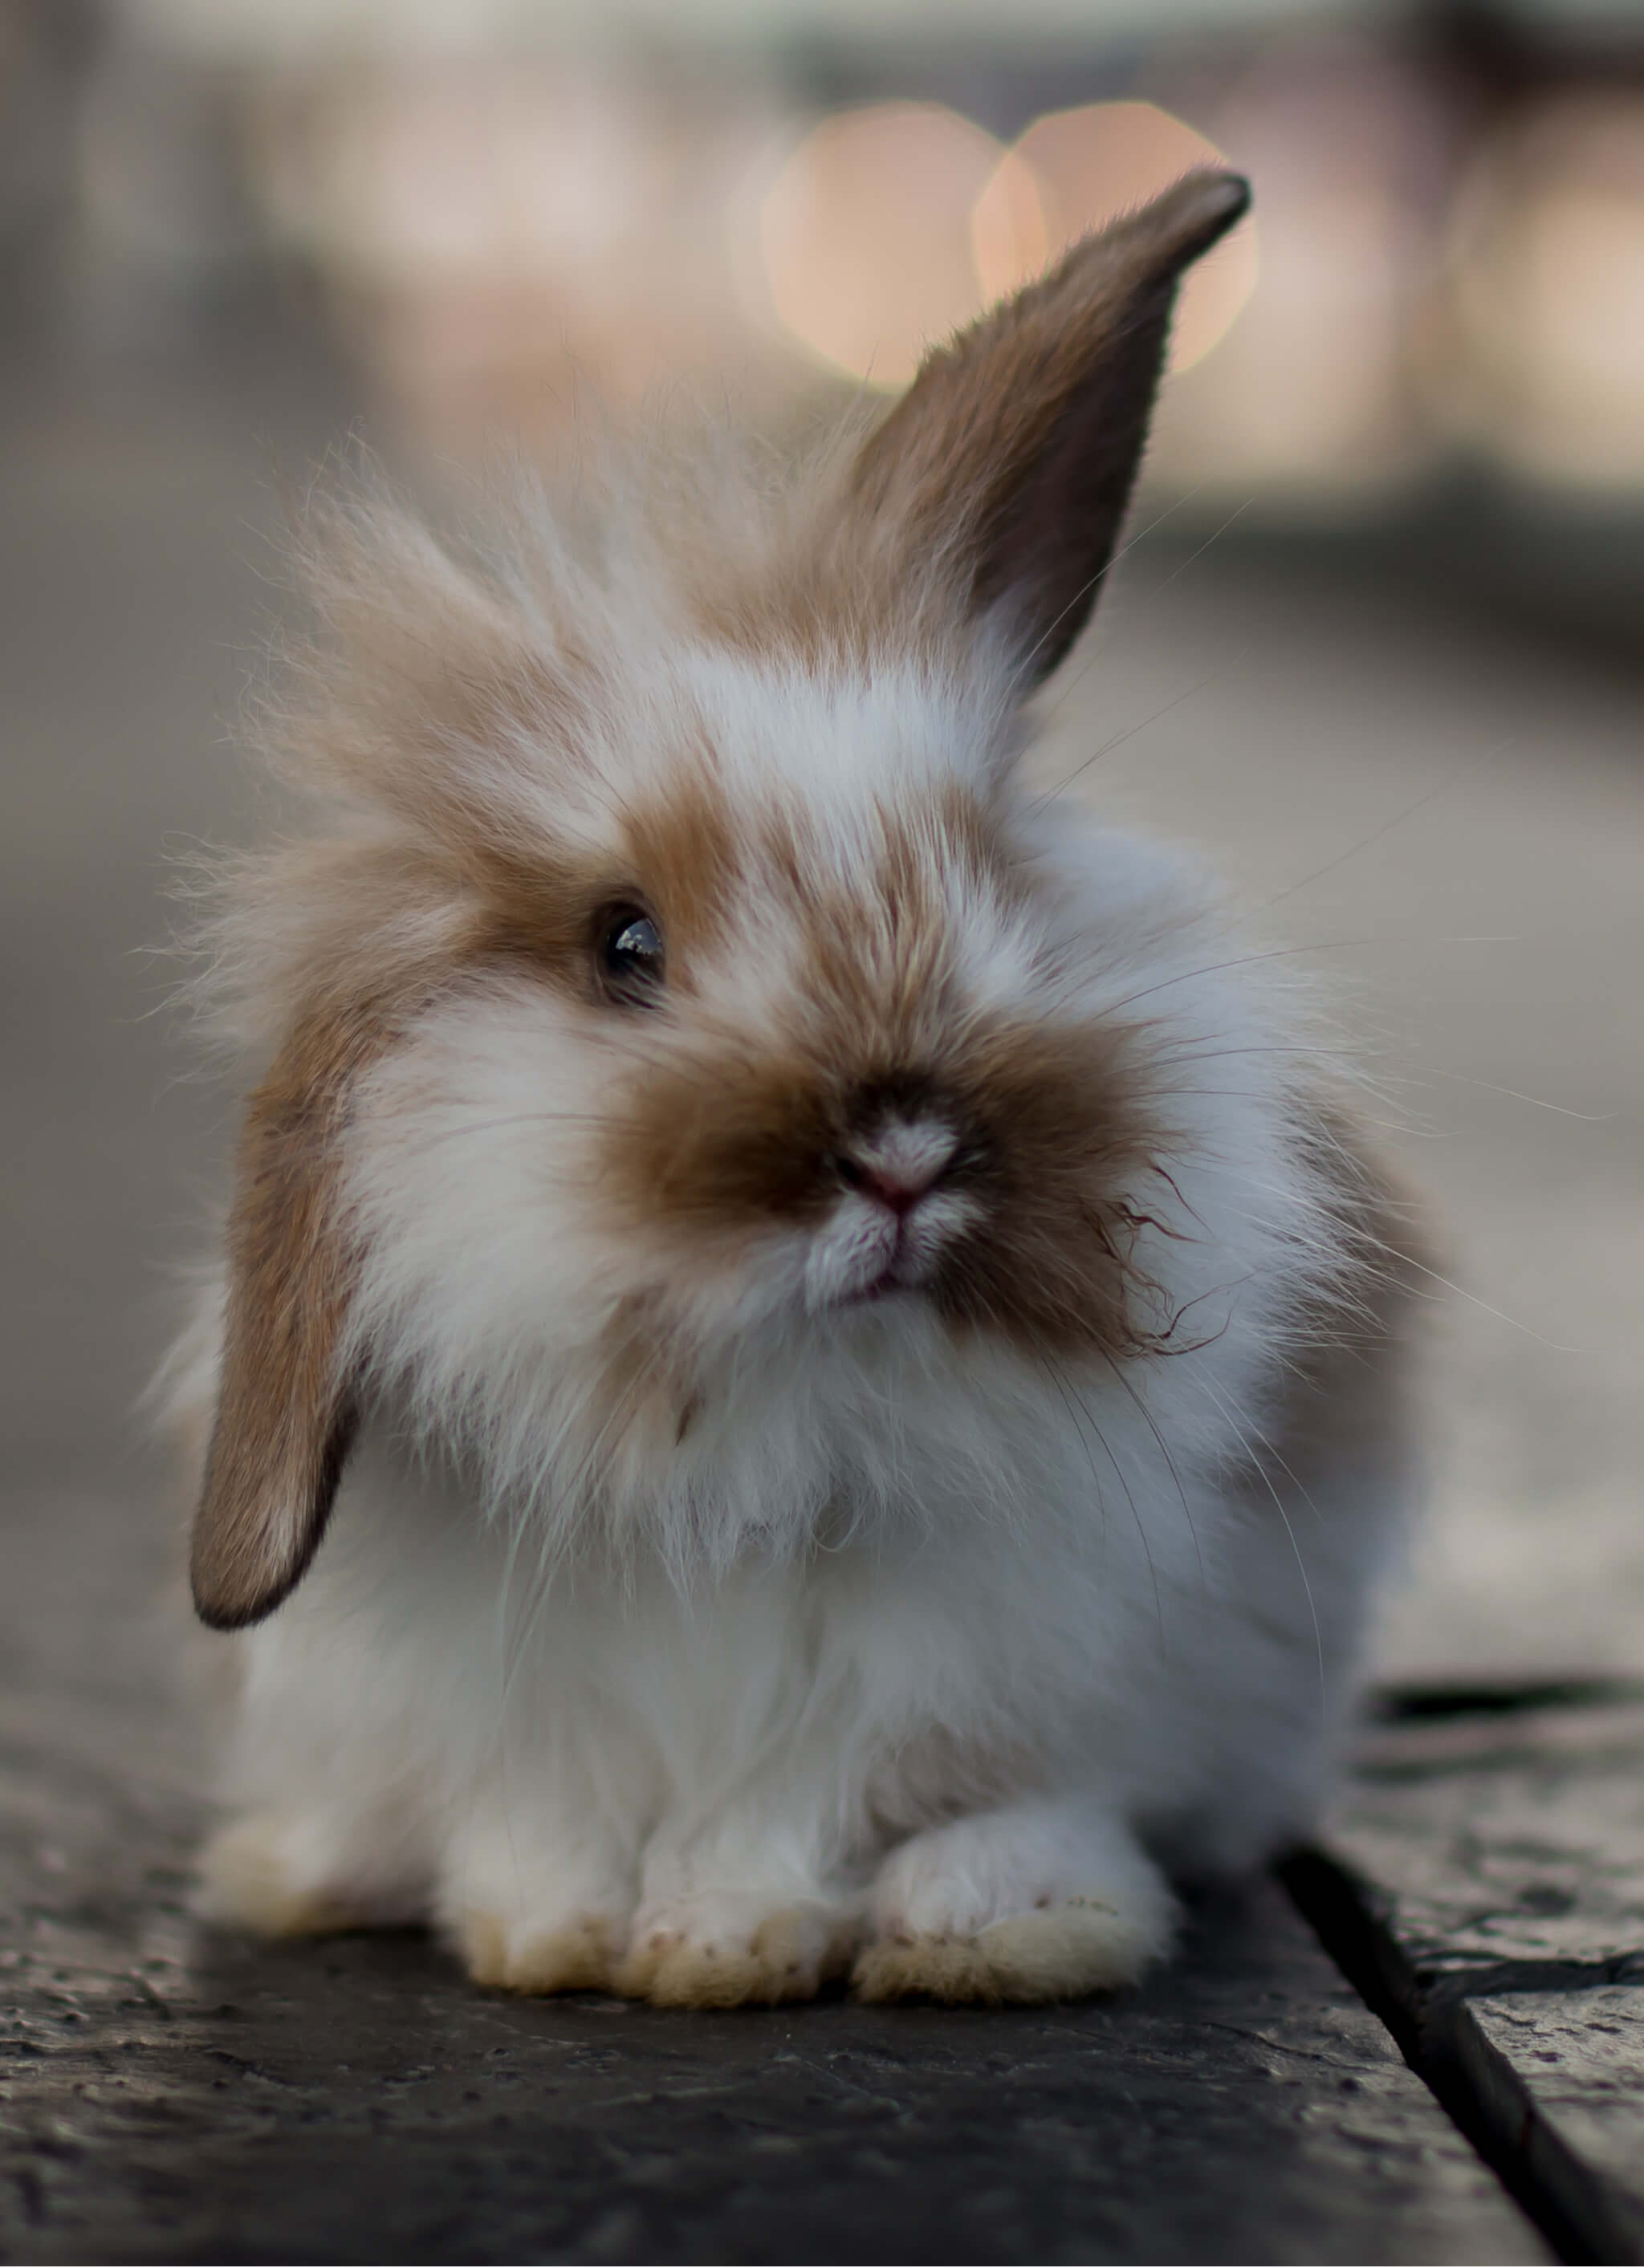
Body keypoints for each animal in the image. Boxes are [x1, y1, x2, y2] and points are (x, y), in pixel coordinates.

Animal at [169, 181, 1423, 2022]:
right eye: (622, 945)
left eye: (986, 874)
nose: (902, 1156)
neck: (785, 1430)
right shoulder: (527, 1703)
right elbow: (540, 1822)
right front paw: (567, 1939)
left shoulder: (1004, 1670)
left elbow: (880, 1805)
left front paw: (799, 1940)